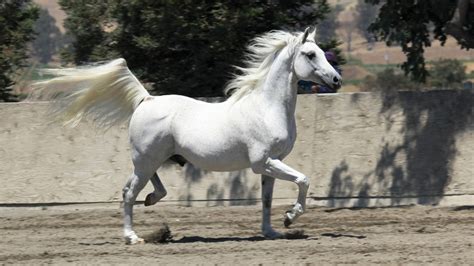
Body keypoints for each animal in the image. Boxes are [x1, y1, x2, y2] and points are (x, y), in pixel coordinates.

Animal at [34, 27, 340, 243]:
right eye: (310, 54)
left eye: (321, 51)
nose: (336, 80)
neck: (266, 108)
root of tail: (145, 99)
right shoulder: (263, 162)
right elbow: (304, 180)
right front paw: (291, 217)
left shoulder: (271, 164)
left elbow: (266, 200)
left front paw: (273, 230)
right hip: (145, 160)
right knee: (129, 192)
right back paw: (132, 237)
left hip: (154, 159)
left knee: (145, 187)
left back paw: (152, 200)